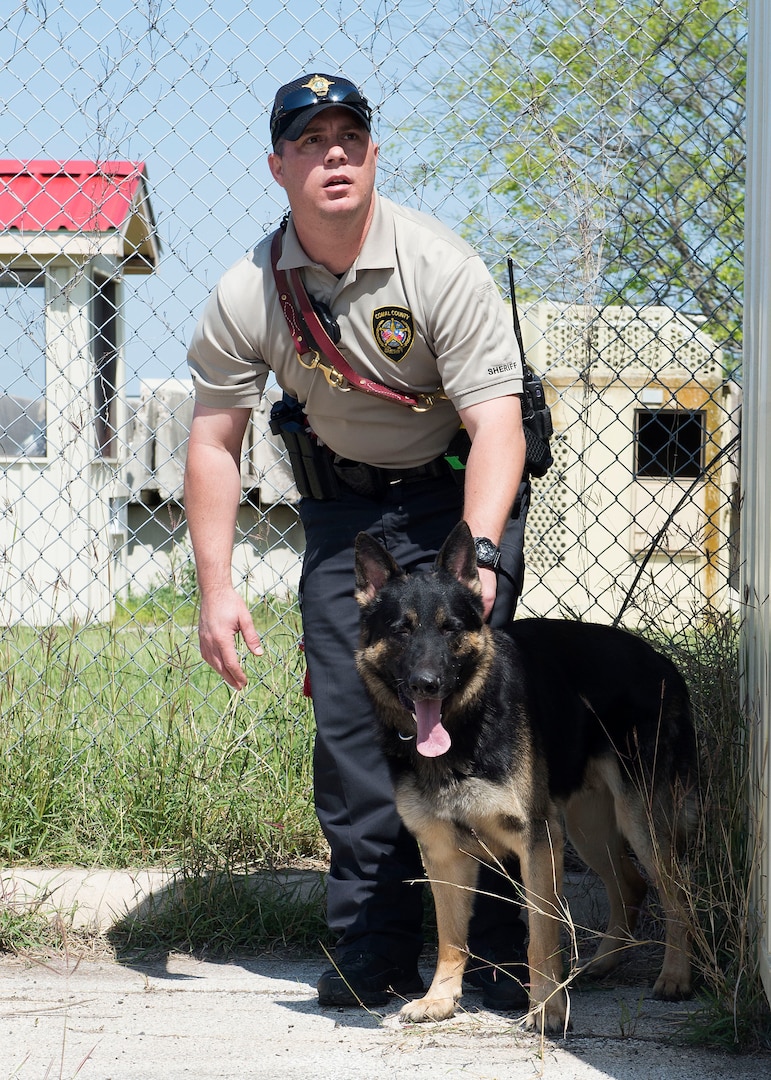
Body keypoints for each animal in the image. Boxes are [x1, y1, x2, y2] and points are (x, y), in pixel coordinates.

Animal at [354, 520, 695, 1028]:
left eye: (450, 629)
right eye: (401, 630)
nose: (426, 684)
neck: (467, 725)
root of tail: (663, 662)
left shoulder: (536, 842)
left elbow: (541, 936)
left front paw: (548, 1009)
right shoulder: (443, 853)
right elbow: (451, 939)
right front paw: (441, 998)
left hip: (639, 823)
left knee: (677, 895)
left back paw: (675, 976)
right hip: (587, 828)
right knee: (631, 885)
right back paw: (604, 963)